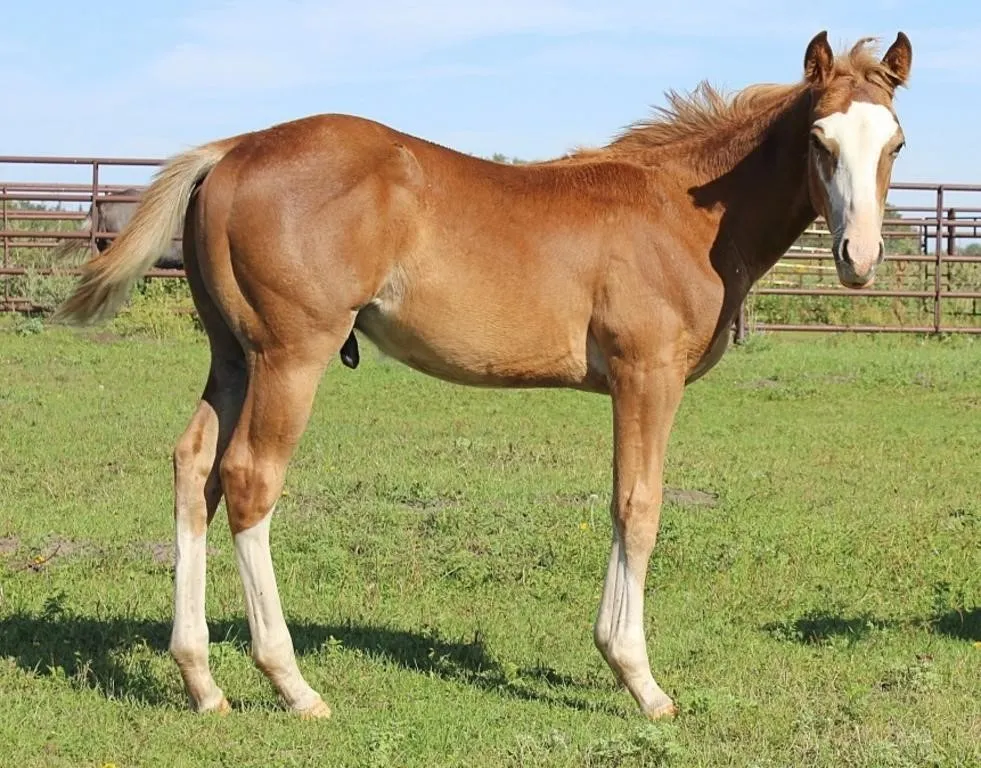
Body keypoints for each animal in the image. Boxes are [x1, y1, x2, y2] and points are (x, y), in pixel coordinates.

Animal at [54, 31, 912, 720]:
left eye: (895, 143)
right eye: (818, 139)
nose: (859, 259)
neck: (686, 213)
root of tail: (232, 148)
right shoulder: (646, 375)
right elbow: (636, 506)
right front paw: (638, 680)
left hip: (233, 357)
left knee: (193, 466)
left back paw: (202, 681)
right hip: (289, 354)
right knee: (248, 479)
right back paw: (292, 685)